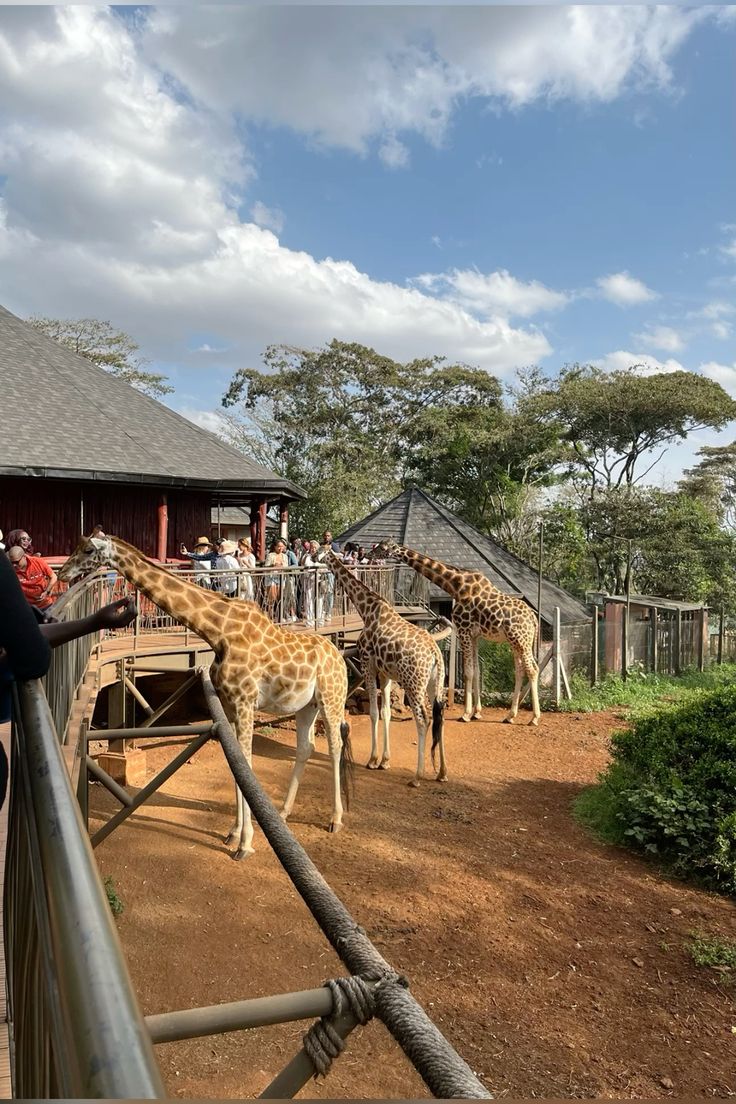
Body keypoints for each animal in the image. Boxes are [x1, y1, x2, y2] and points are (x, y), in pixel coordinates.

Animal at [59, 535, 353, 858]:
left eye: (88, 550)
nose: (62, 573)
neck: (218, 630)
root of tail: (339, 658)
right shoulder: (229, 704)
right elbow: (237, 767)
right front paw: (234, 833)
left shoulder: (245, 702)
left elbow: (247, 764)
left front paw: (245, 843)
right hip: (306, 706)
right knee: (305, 748)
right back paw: (285, 812)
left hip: (331, 698)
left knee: (335, 745)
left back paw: (336, 819)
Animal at [327, 551, 447, 787]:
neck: (368, 610)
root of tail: (435, 654)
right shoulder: (385, 674)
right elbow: (387, 712)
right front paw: (384, 760)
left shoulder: (367, 663)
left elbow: (374, 712)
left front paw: (373, 760)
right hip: (434, 683)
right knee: (440, 718)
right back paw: (442, 773)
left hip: (414, 683)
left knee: (423, 720)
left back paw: (417, 776)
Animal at [373, 540, 540, 726]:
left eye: (381, 548)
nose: (368, 554)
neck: (456, 586)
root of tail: (534, 619)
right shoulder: (474, 635)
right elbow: (476, 670)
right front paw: (476, 712)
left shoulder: (463, 630)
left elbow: (468, 672)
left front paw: (466, 714)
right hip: (516, 641)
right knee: (520, 671)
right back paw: (510, 716)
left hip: (521, 640)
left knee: (533, 669)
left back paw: (534, 718)